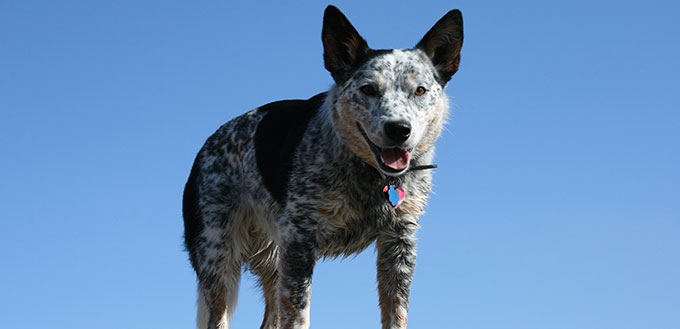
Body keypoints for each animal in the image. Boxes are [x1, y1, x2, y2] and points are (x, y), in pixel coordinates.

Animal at [183, 5, 464, 328]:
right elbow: (299, 314)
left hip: (274, 260)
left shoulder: (399, 241)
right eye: (368, 89)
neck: (368, 173)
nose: (398, 129)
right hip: (219, 257)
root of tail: (206, 146)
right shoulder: (299, 241)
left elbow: (396, 314)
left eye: (419, 90)